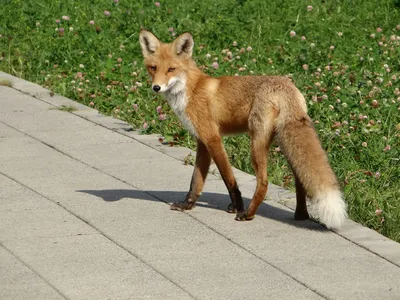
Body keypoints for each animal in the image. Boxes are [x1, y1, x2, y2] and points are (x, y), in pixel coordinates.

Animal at [140, 28, 346, 230]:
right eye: (153, 68)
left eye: (171, 69)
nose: (156, 87)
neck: (190, 89)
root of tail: (286, 86)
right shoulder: (202, 141)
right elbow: (196, 181)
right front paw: (187, 205)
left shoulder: (213, 138)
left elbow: (228, 178)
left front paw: (236, 205)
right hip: (286, 143)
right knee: (300, 178)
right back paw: (301, 215)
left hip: (257, 144)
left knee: (263, 182)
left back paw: (248, 214)